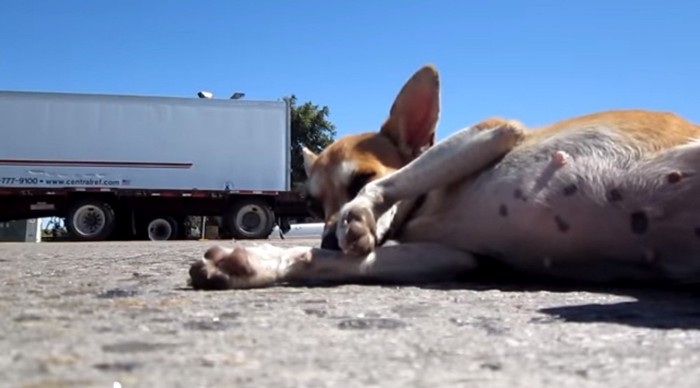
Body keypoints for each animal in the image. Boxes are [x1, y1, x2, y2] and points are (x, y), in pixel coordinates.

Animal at [189, 64, 700, 288]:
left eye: (358, 180)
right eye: (313, 205)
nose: (330, 236)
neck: (424, 210)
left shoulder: (496, 128)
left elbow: (397, 179)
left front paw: (360, 212)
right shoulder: (456, 257)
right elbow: (325, 262)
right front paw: (252, 263)